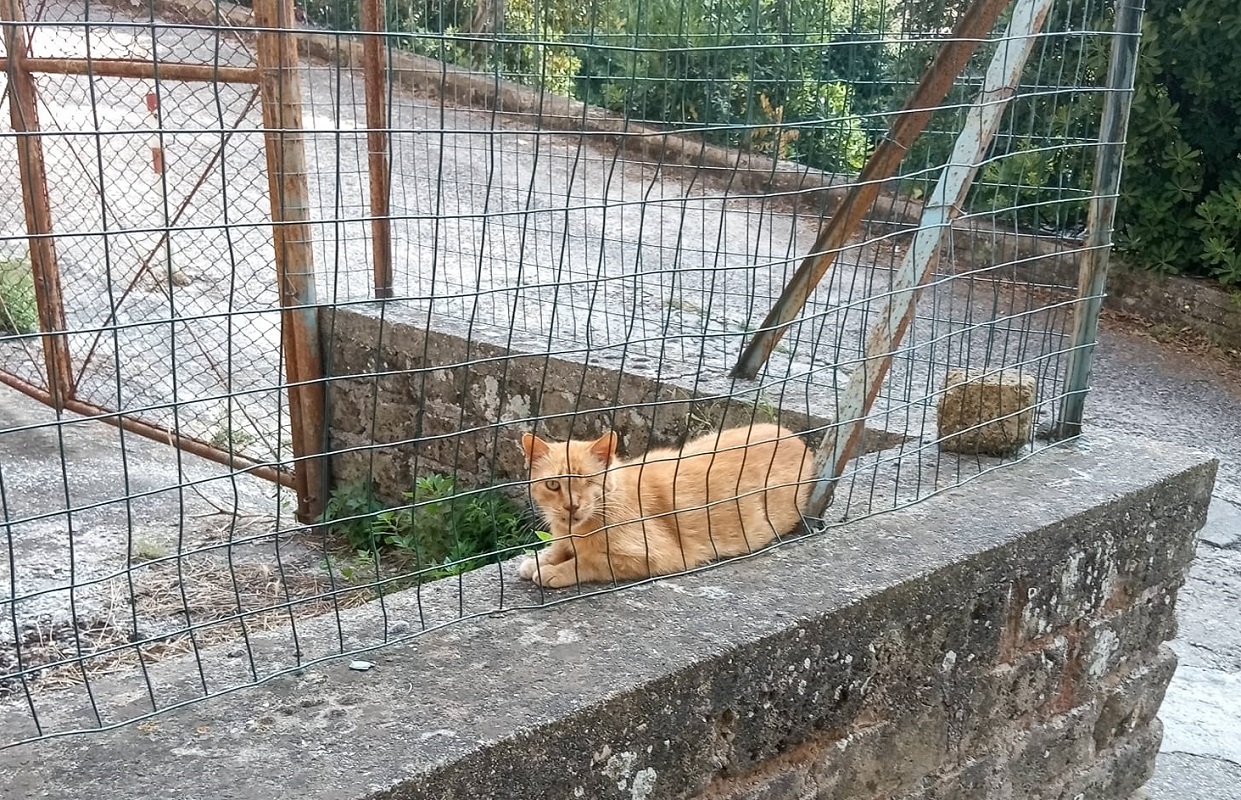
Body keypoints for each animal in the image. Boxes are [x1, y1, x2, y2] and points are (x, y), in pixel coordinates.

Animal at [513, 424, 814, 585]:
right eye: (553, 485)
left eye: (587, 481)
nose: (571, 506)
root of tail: (796, 438)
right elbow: (559, 548)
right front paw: (540, 560)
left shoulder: (657, 557)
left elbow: (591, 560)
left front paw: (553, 571)